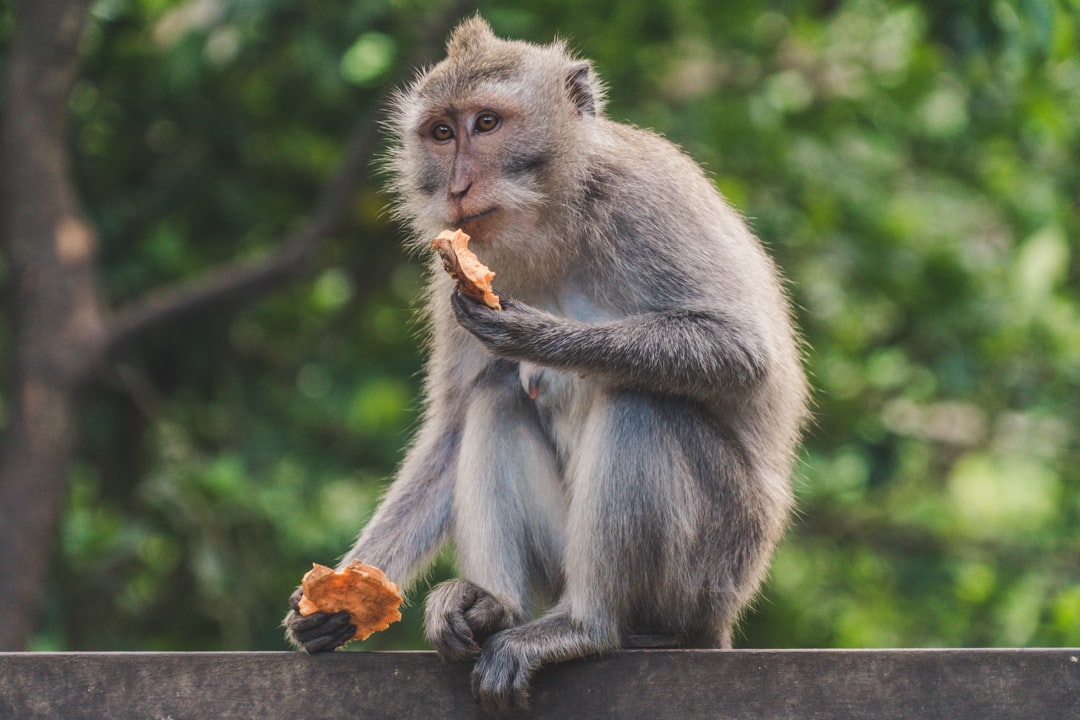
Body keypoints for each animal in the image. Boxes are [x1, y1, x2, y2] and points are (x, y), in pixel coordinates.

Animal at [282, 16, 807, 716]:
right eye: (441, 132)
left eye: (486, 124)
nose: (456, 187)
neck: (553, 215)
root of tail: (722, 618)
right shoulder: (449, 269)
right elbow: (453, 427)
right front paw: (342, 595)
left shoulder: (645, 199)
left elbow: (743, 352)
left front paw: (535, 335)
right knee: (495, 399)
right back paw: (491, 607)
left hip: (710, 570)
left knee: (640, 402)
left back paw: (586, 627)